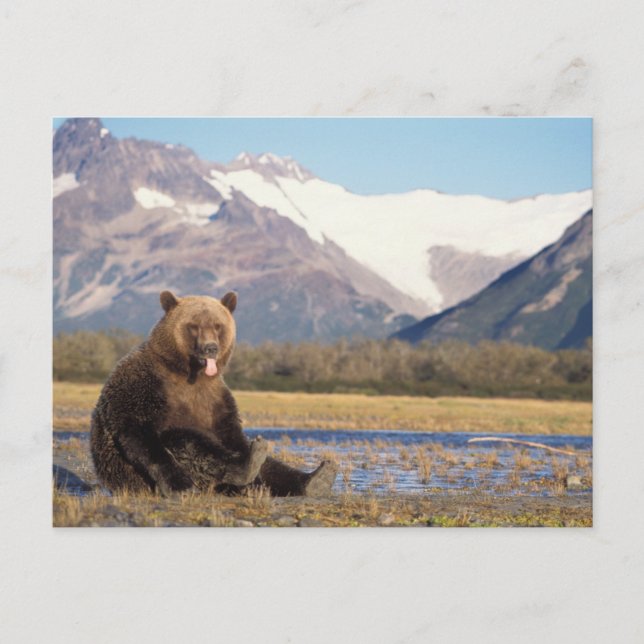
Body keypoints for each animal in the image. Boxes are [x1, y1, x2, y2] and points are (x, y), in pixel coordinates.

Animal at [90, 290, 338, 497]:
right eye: (194, 325)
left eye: (218, 325)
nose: (211, 348)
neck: (190, 374)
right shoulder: (146, 385)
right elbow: (139, 432)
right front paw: (180, 485)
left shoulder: (216, 398)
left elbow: (231, 434)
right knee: (187, 443)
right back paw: (246, 469)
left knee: (271, 466)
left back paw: (317, 478)